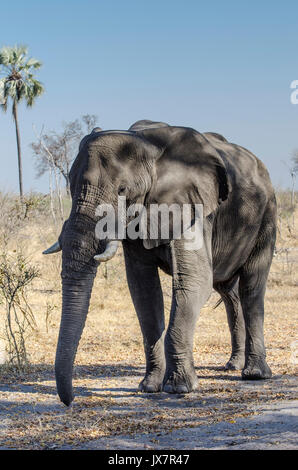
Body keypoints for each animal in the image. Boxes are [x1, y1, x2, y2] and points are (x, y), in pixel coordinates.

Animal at [43, 119, 278, 406]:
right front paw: (149, 387)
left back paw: (254, 374)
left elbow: (194, 280)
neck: (147, 146)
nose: (70, 401)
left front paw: (179, 388)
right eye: (71, 187)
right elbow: (143, 288)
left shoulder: (193, 205)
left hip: (267, 214)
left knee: (251, 286)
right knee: (228, 292)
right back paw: (232, 365)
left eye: (122, 190)